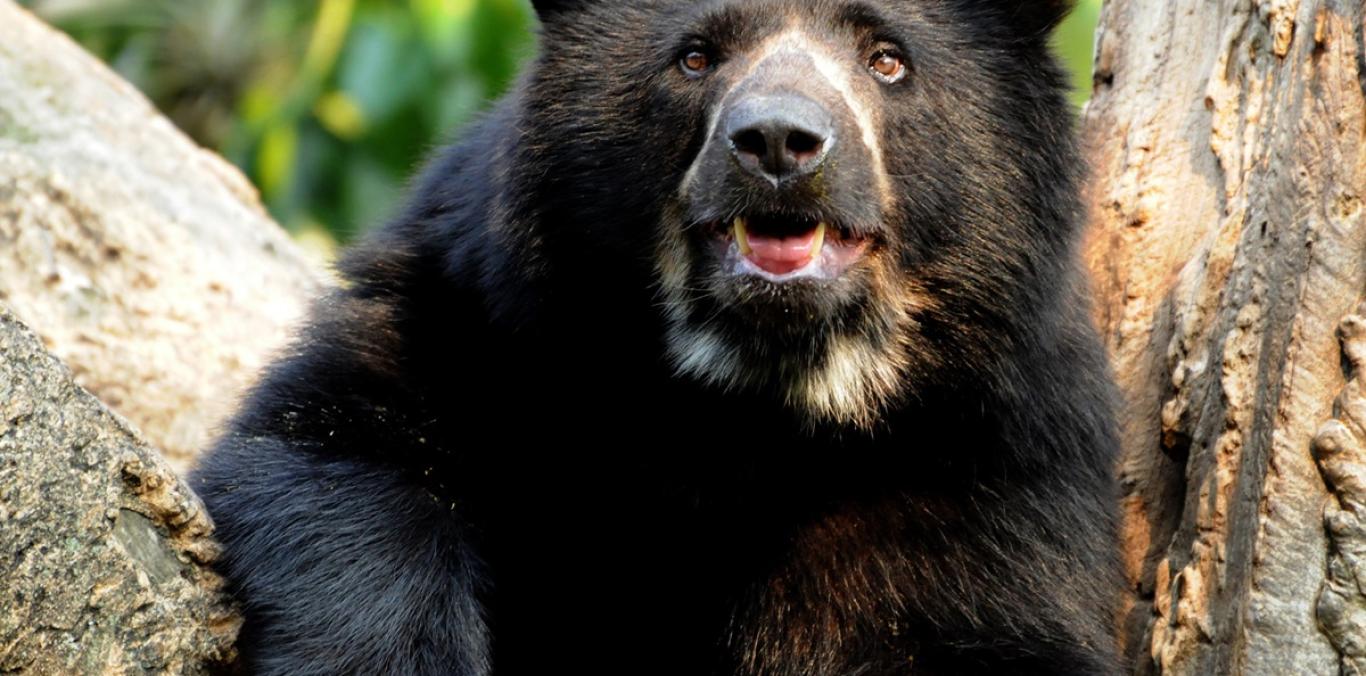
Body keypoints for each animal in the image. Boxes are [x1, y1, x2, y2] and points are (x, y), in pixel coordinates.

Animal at [191, 0, 1125, 674]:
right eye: (696, 56)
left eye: (887, 57)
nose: (779, 144)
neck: (743, 405)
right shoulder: (480, 318)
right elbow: (338, 451)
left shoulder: (991, 460)